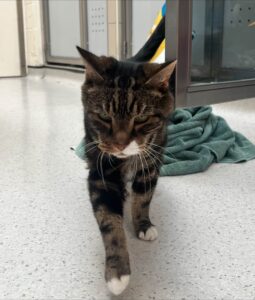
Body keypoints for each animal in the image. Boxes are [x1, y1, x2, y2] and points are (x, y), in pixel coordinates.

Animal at [76, 47, 175, 296]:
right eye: (104, 116)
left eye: (141, 118)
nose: (120, 144)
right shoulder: (101, 174)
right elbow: (109, 221)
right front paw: (117, 272)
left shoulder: (151, 162)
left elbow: (143, 199)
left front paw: (143, 225)